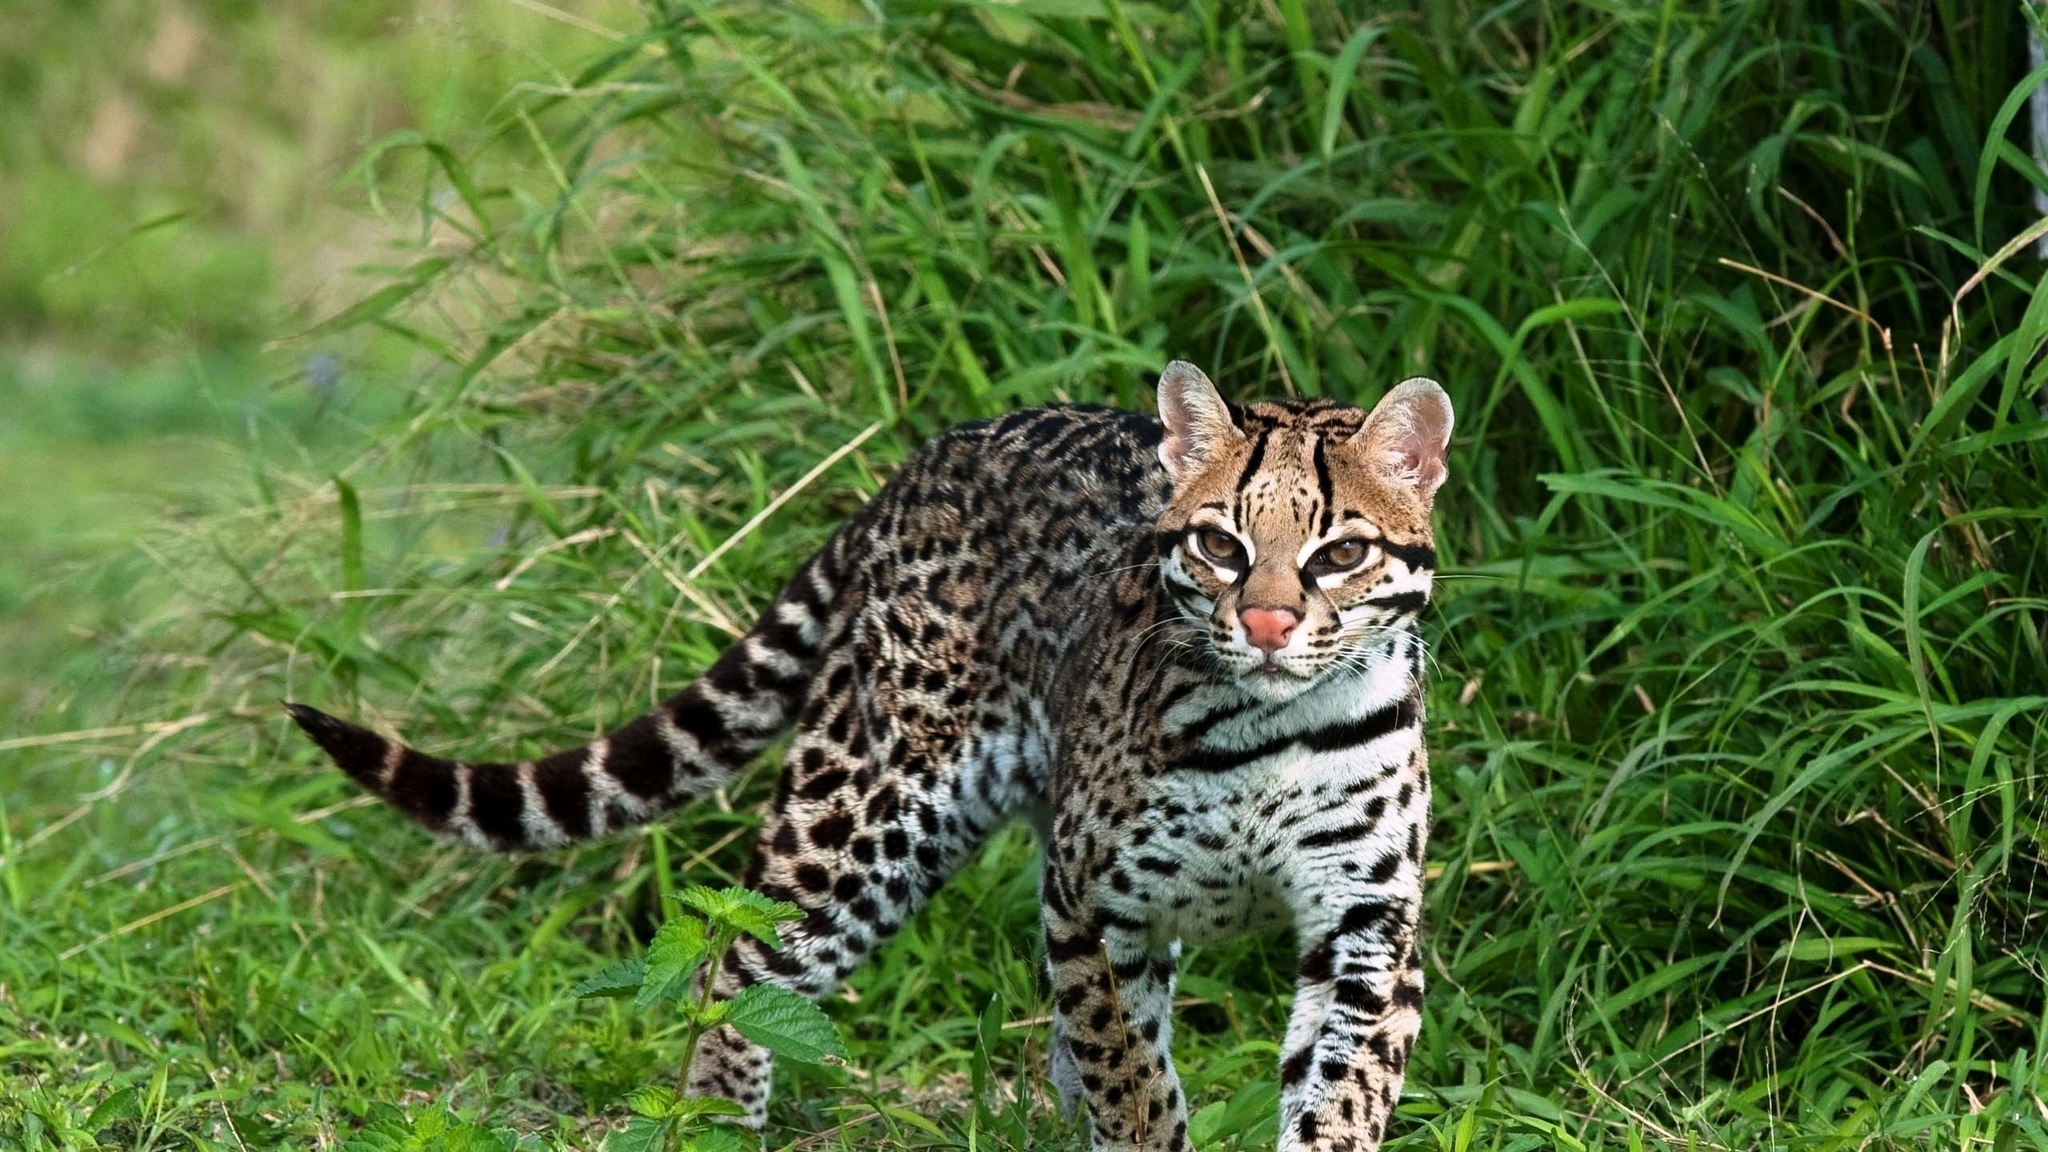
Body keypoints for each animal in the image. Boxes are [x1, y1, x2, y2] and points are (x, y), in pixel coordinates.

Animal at [288, 362, 1458, 1147]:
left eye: (1340, 553)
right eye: (1220, 544)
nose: (1263, 624)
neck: (1269, 731)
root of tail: (927, 460)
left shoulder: (1366, 922)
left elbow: (1337, 1091)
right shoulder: (1094, 899)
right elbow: (1132, 1081)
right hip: (866, 807)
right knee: (736, 963)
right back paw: (719, 1121)